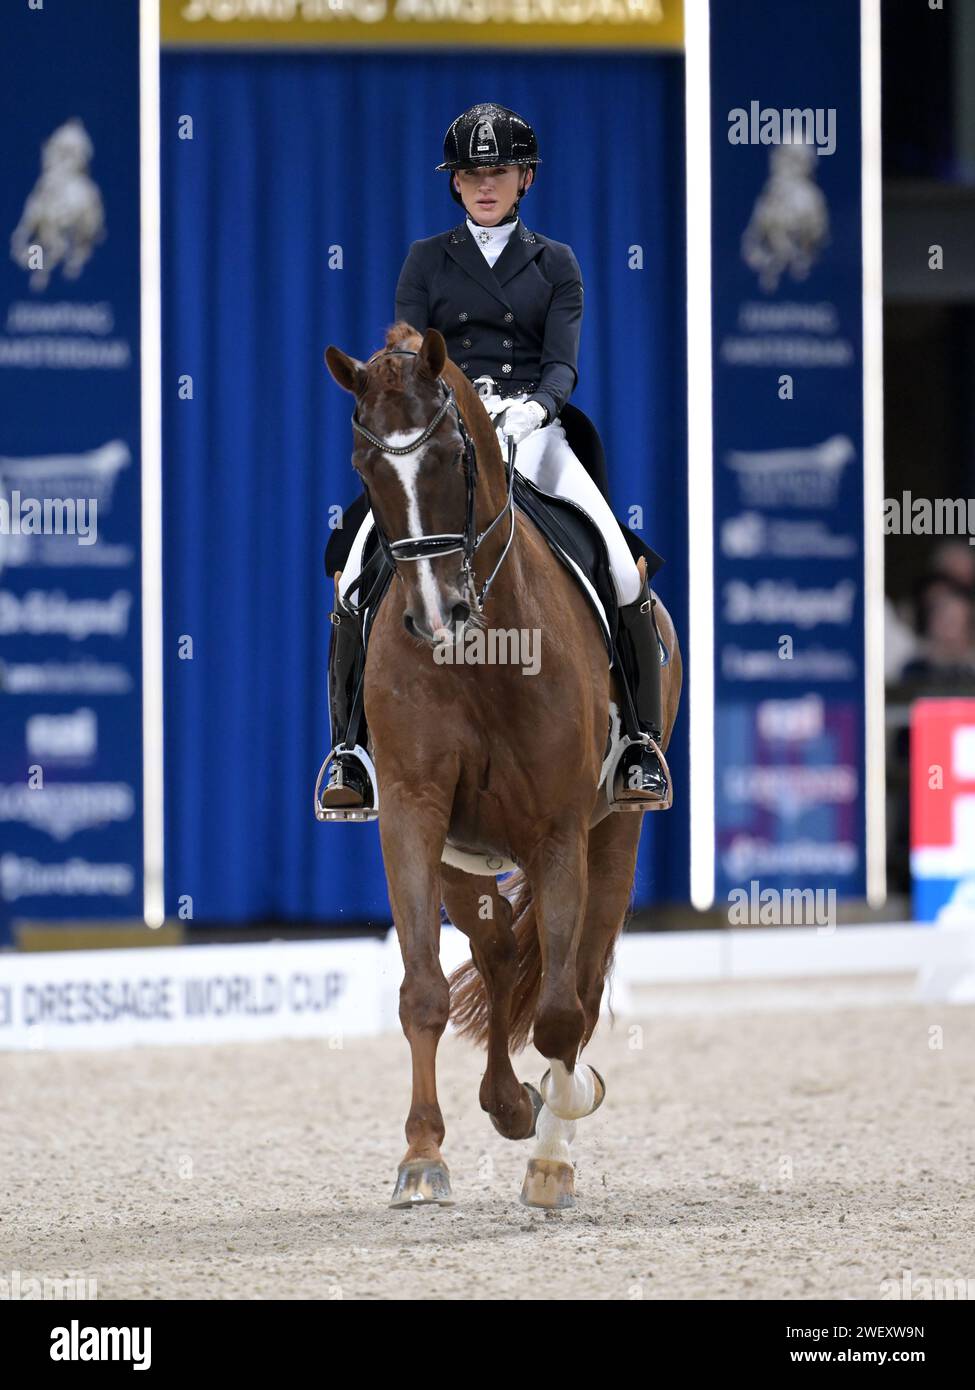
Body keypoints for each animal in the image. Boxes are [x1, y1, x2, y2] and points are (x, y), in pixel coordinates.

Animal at [322, 322, 681, 1206]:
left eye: (454, 454)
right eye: (363, 463)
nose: (433, 616)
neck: (481, 651)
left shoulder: (559, 830)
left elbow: (559, 1013)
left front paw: (556, 1123)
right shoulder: (413, 814)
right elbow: (423, 991)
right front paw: (422, 1158)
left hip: (612, 837)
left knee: (576, 984)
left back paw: (549, 1139)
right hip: (465, 858)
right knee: (500, 958)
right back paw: (507, 1103)